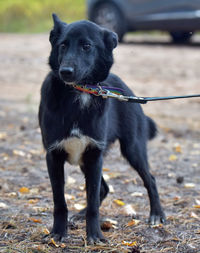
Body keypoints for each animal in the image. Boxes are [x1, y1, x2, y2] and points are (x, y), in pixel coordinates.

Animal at [38, 13, 165, 243]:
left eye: (86, 46)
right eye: (63, 45)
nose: (65, 71)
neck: (80, 93)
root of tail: (130, 92)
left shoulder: (94, 155)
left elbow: (93, 203)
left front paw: (95, 235)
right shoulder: (54, 156)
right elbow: (60, 202)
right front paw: (58, 233)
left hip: (132, 149)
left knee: (149, 179)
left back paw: (157, 214)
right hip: (86, 161)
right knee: (104, 188)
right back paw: (78, 215)